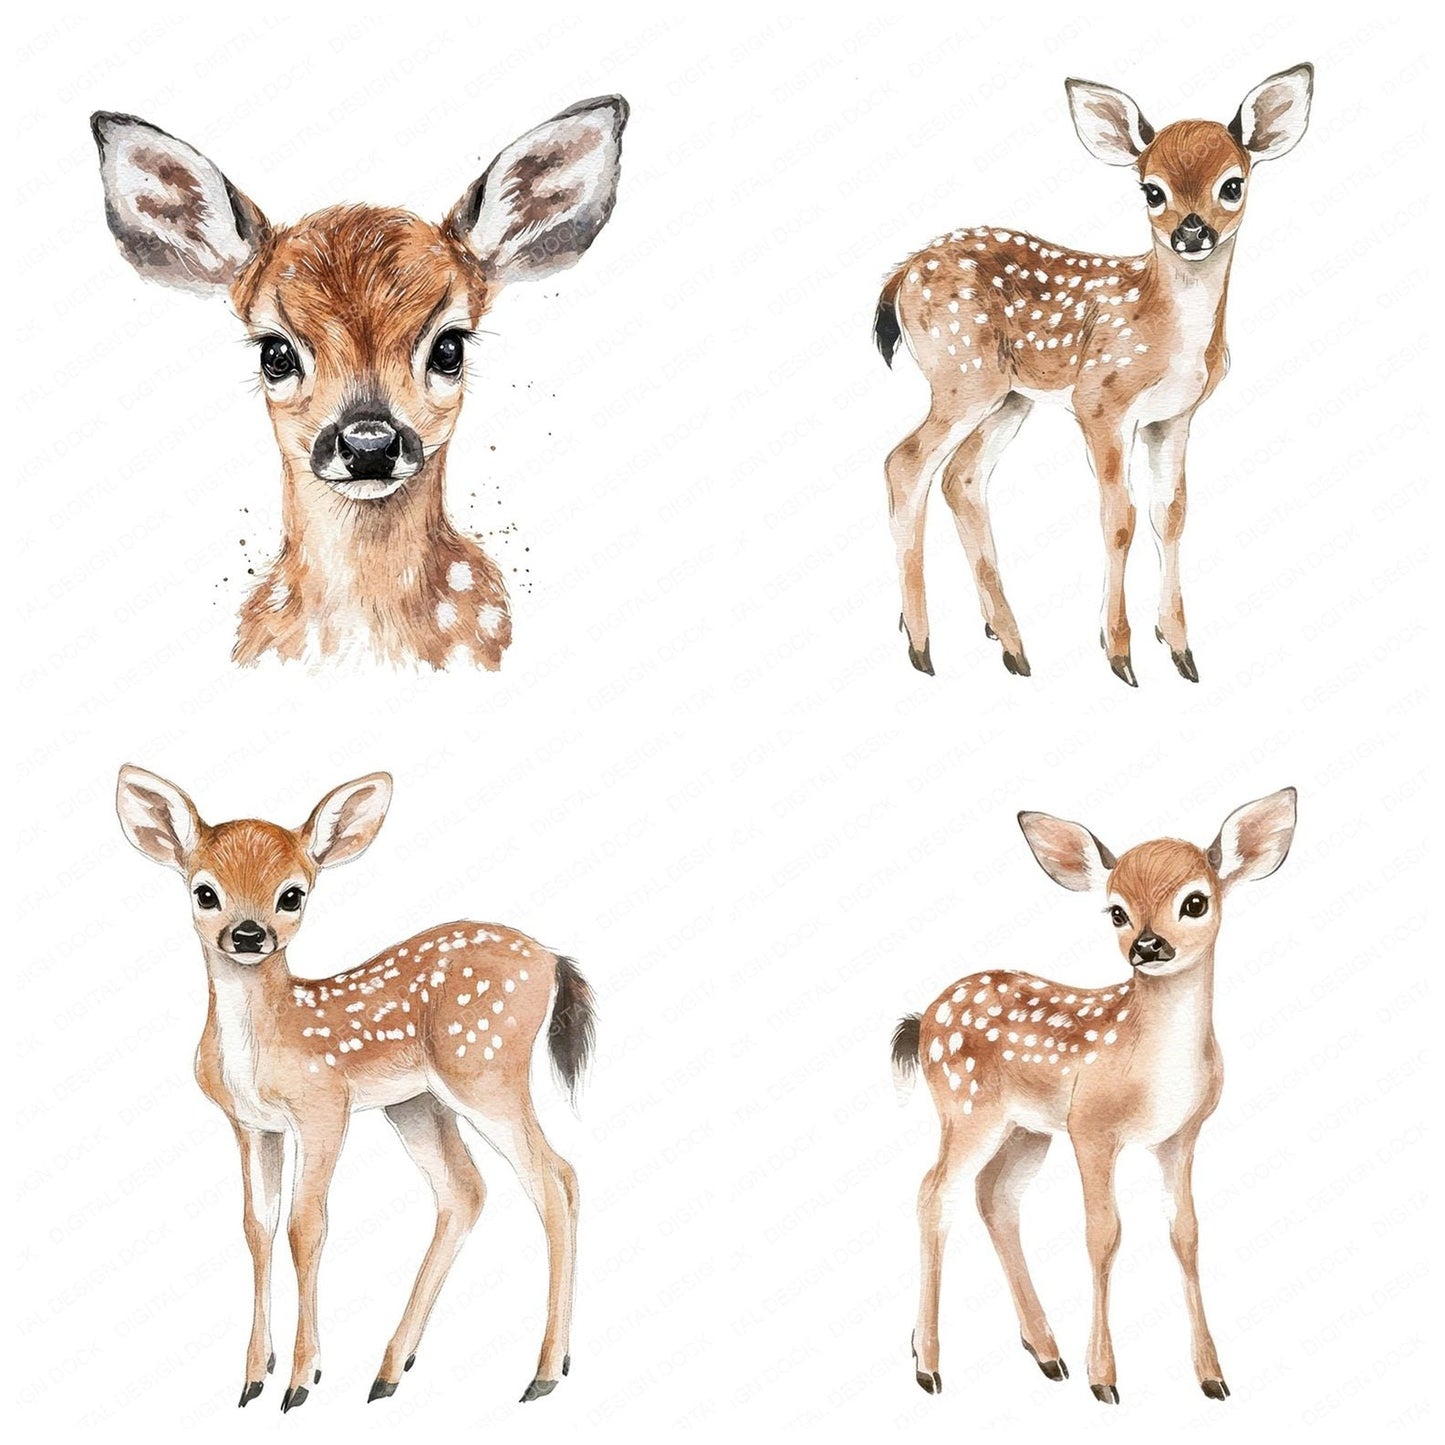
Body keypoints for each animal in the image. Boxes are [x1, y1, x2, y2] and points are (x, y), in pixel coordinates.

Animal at [115, 765, 595, 1412]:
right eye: (204, 891)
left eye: (293, 894)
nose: (249, 934)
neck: (263, 1046)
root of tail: (552, 960)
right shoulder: (252, 1124)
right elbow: (257, 1226)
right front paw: (253, 1377)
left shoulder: (324, 1107)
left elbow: (306, 1226)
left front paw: (301, 1380)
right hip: (416, 1102)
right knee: (465, 1190)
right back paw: (391, 1370)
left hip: (486, 1070)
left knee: (555, 1177)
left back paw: (544, 1373)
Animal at [873, 66, 1313, 685]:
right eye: (1151, 190)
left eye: (1232, 185)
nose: (1191, 232)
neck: (1167, 330)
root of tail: (903, 274)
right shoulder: (1101, 400)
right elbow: (1118, 517)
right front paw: (1119, 653)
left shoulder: (1174, 416)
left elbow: (1169, 513)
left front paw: (1180, 649)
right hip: (961, 373)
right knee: (906, 463)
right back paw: (921, 645)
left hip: (1007, 396)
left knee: (961, 477)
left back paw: (1008, 642)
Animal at [891, 788, 1297, 1404]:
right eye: (1117, 912)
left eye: (1195, 901)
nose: (1148, 946)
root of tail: (925, 1020)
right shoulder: (1090, 1127)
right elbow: (1104, 1234)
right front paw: (1104, 1379)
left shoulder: (1181, 1136)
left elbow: (1186, 1233)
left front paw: (1212, 1376)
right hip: (966, 1106)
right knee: (934, 1193)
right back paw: (928, 1365)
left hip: (1027, 1128)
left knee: (995, 1198)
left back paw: (1045, 1352)